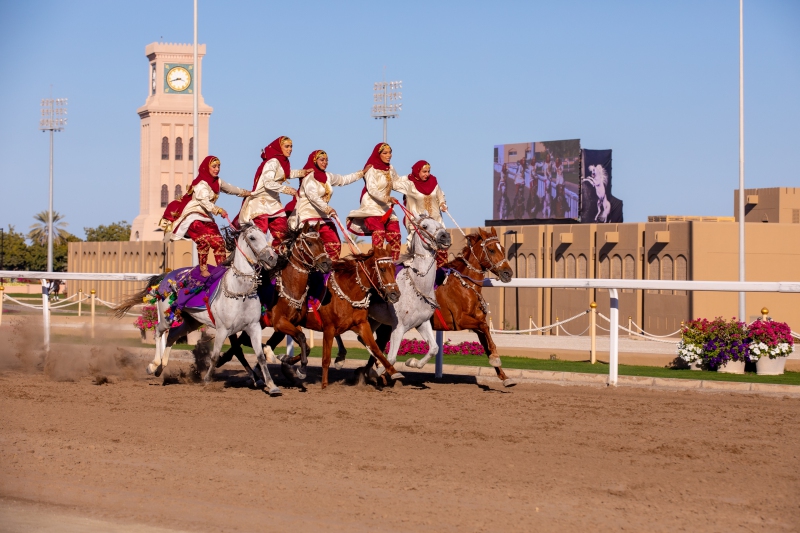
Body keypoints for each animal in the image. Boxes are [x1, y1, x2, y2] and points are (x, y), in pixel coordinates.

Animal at [114, 224, 282, 394]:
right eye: (252, 238)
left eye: (265, 236)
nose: (272, 258)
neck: (240, 293)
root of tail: (166, 276)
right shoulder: (223, 329)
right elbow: (215, 356)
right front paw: (206, 380)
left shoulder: (253, 327)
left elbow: (260, 356)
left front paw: (271, 385)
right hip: (167, 317)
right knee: (158, 331)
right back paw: (153, 365)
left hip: (191, 322)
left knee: (172, 335)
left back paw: (161, 368)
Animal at [368, 212, 454, 374]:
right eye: (424, 226)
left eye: (439, 224)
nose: (445, 236)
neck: (415, 288)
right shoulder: (398, 327)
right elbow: (391, 359)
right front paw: (376, 372)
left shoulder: (422, 323)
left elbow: (434, 348)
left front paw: (412, 362)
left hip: (373, 320)